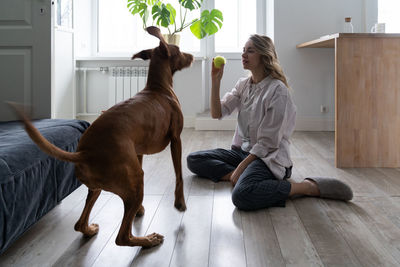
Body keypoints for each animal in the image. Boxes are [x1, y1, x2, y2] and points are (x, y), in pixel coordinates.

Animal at [10, 27, 194, 249]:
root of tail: (84, 152)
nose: (193, 56)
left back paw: (91, 229)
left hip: (99, 186)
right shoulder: (176, 139)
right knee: (122, 237)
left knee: (80, 224)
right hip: (135, 178)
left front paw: (141, 209)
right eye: (180, 50)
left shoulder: (138, 152)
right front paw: (180, 203)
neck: (158, 88)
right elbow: (179, 175)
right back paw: (148, 240)